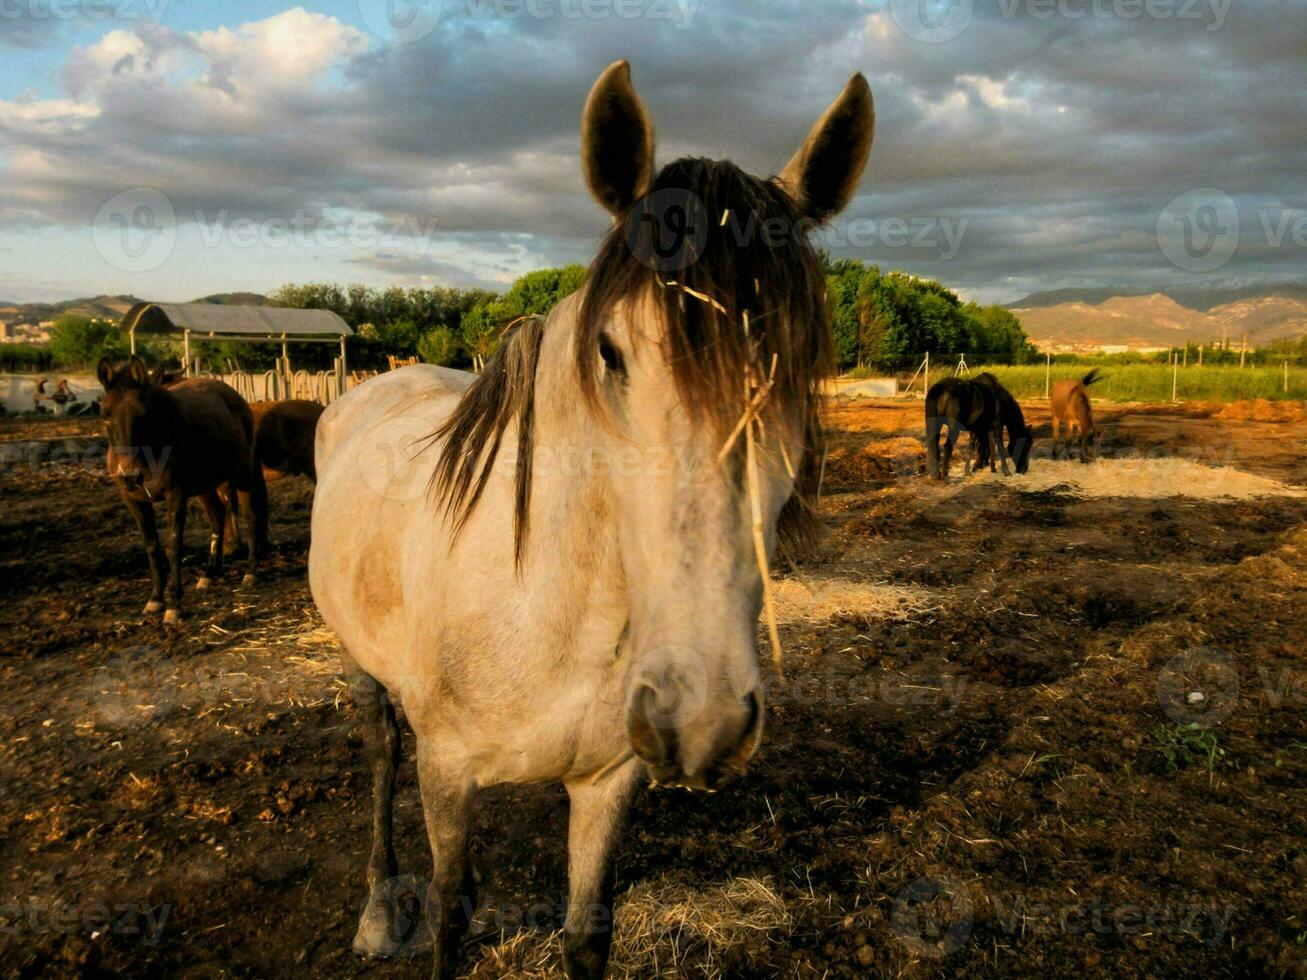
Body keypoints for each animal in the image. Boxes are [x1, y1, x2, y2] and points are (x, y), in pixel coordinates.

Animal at [97, 358, 267, 624]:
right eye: (105, 416)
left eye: (143, 415)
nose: (130, 475)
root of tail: (233, 395)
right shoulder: (133, 500)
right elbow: (152, 546)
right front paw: (155, 599)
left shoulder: (175, 494)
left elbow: (173, 544)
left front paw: (174, 605)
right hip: (204, 486)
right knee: (217, 516)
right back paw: (210, 572)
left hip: (242, 473)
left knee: (250, 516)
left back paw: (250, 572)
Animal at [311, 63, 873, 980]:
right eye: (610, 352)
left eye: (802, 361)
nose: (699, 715)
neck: (546, 608)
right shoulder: (446, 772)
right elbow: (451, 917)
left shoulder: (608, 782)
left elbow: (584, 934)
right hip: (364, 670)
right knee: (379, 754)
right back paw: (376, 911)